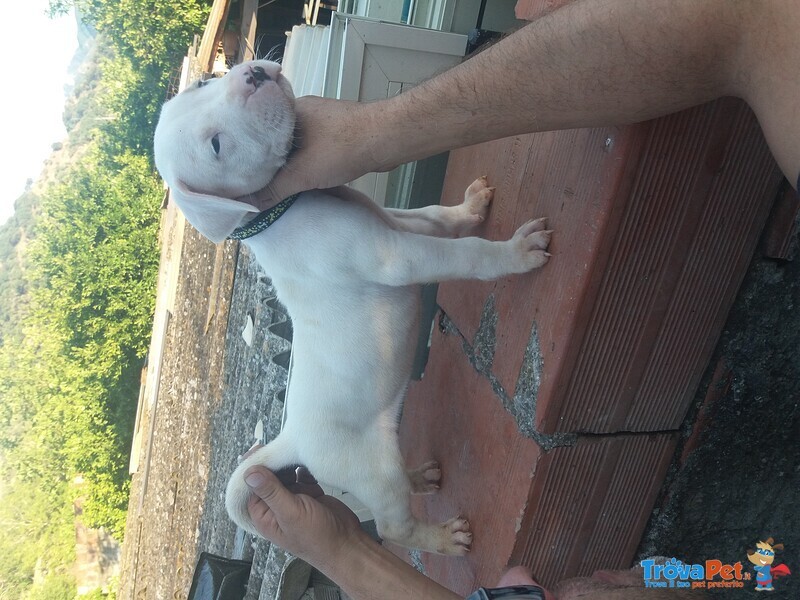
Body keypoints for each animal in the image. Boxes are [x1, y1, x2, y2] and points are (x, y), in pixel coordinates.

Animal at [152, 59, 552, 552]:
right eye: (215, 146)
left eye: (204, 82)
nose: (253, 75)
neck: (277, 212)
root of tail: (292, 440)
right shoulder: (396, 255)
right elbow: (467, 254)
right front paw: (516, 253)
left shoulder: (399, 220)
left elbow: (438, 216)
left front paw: (470, 206)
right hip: (372, 473)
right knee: (394, 527)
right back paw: (443, 538)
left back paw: (421, 476)